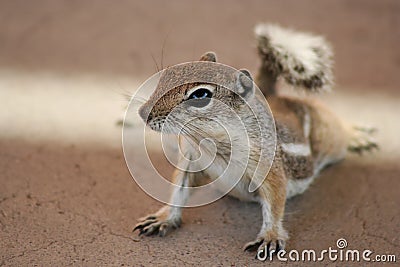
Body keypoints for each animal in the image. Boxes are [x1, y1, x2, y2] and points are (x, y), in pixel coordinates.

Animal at [132, 24, 378, 258]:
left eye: (200, 95)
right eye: (166, 75)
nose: (142, 113)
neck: (208, 142)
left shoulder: (268, 166)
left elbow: (274, 202)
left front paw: (270, 236)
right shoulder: (191, 161)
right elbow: (179, 190)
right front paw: (164, 217)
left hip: (328, 133)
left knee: (338, 129)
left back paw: (356, 134)